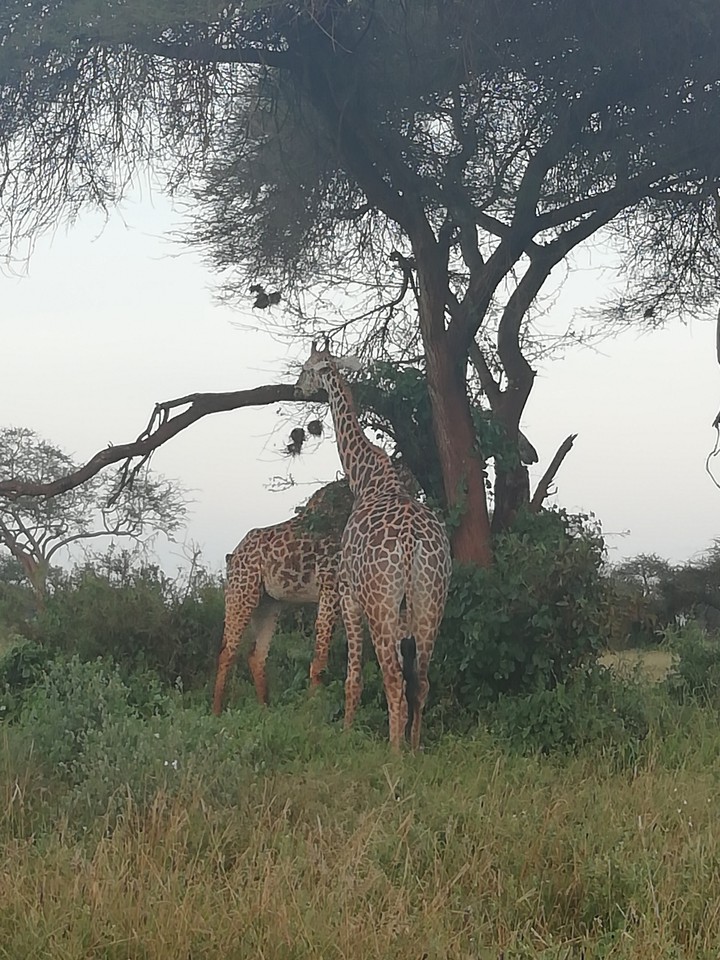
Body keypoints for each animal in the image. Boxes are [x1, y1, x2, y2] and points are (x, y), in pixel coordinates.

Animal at [295, 342, 452, 750]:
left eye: (307, 368)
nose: (299, 387)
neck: (366, 479)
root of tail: (413, 542)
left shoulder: (348, 594)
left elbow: (353, 678)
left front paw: (347, 735)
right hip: (431, 601)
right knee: (421, 680)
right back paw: (414, 749)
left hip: (381, 604)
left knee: (395, 681)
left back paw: (393, 753)